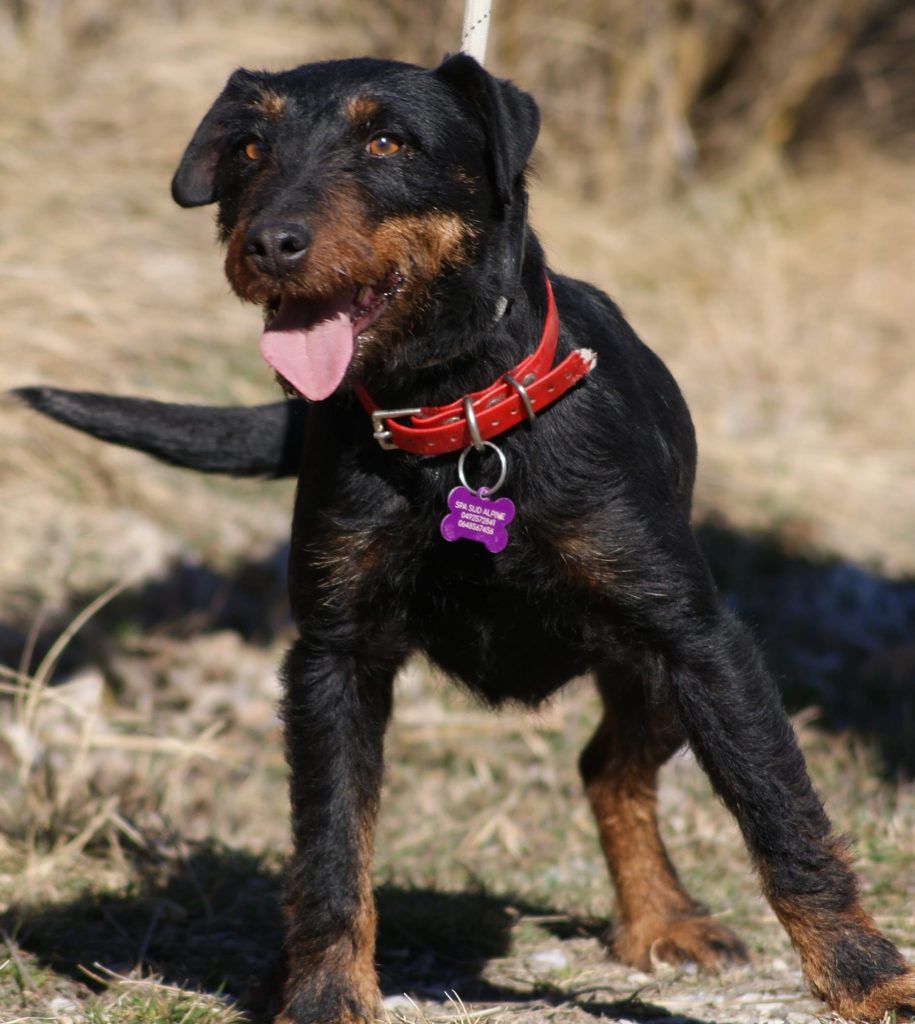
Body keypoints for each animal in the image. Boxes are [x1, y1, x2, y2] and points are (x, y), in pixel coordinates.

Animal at [16, 54, 915, 1024]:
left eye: (387, 140)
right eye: (248, 147)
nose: (269, 243)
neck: (455, 421)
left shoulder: (700, 644)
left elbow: (781, 815)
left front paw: (865, 975)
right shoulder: (332, 660)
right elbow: (330, 849)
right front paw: (324, 989)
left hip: (650, 673)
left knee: (609, 766)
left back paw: (660, 917)